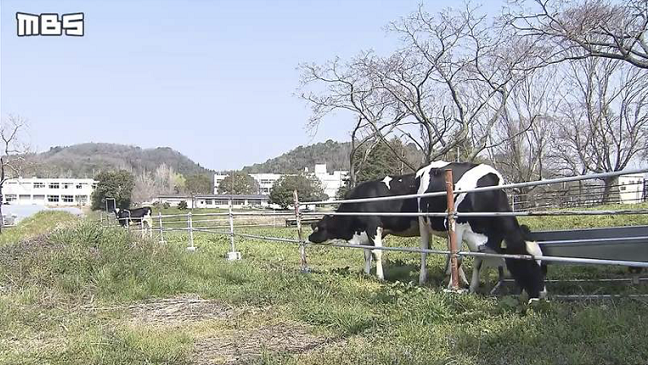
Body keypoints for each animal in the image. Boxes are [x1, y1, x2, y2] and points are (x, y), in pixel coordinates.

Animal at [416, 162, 548, 298]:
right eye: (528, 263)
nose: (542, 293)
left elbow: (477, 262)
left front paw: (473, 287)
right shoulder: (457, 227)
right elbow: (458, 258)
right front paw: (452, 287)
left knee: (449, 248)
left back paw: (457, 276)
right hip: (422, 221)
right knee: (424, 250)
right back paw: (423, 278)